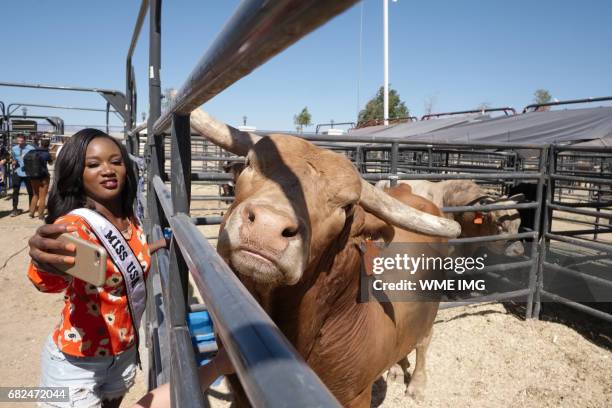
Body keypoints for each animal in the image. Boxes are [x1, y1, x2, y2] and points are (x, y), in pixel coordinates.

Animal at [191, 107, 460, 406]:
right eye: (250, 164)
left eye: (347, 205)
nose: (267, 227)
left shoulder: (356, 396)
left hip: (430, 309)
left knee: (424, 341)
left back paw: (417, 384)